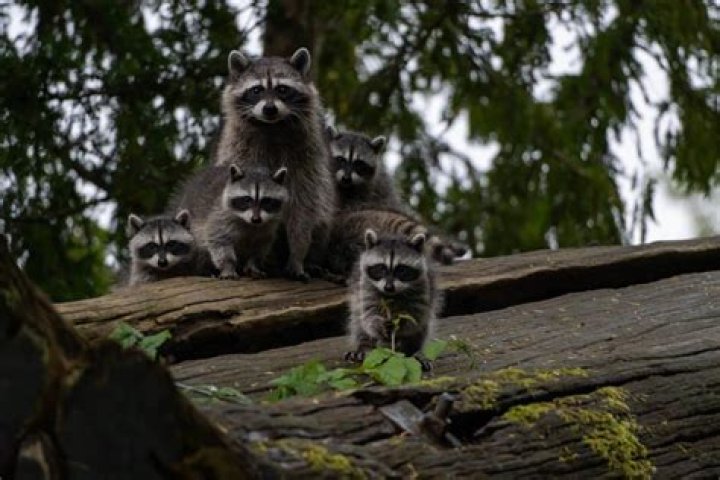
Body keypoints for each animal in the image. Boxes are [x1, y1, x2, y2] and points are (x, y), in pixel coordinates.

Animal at [215, 47, 335, 281]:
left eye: (282, 89)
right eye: (256, 90)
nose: (269, 109)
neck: (272, 126)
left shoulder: (307, 159)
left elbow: (304, 206)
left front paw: (298, 254)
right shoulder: (239, 150)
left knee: (322, 216)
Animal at [345, 230, 440, 368]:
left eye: (401, 270)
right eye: (381, 268)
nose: (388, 287)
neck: (392, 295)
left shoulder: (423, 287)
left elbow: (415, 318)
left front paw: (401, 325)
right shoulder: (365, 286)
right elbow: (368, 315)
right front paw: (378, 325)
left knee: (422, 328)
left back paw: (415, 351)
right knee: (358, 322)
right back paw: (364, 346)